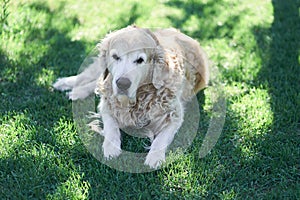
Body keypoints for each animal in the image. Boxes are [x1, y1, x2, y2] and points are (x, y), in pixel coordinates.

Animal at [53, 25, 209, 169]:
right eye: (116, 57)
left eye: (140, 60)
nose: (122, 84)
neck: (139, 99)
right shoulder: (107, 104)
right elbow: (111, 126)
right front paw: (111, 148)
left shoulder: (175, 115)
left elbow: (161, 139)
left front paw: (155, 157)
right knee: (89, 77)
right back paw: (66, 84)